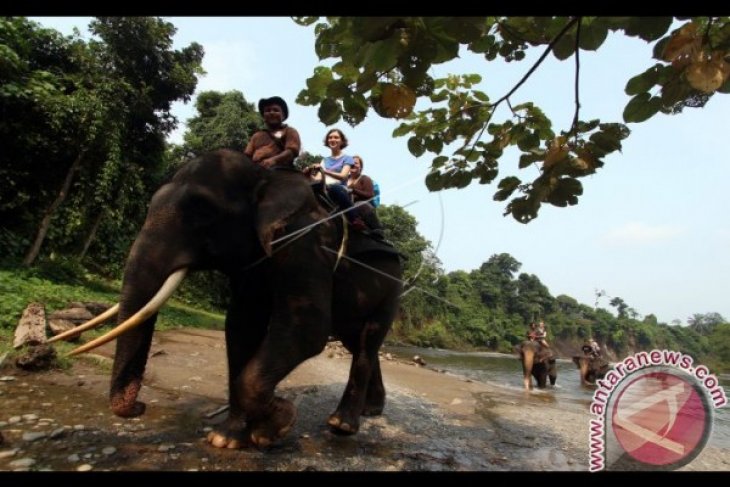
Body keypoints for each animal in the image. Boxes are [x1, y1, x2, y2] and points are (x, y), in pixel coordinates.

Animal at [51, 149, 404, 450]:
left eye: (202, 210)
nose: (140, 405)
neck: (267, 177)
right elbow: (240, 326)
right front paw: (227, 439)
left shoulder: (307, 241)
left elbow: (307, 328)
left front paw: (275, 425)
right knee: (357, 343)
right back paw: (371, 410)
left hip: (393, 290)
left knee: (367, 341)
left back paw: (341, 425)